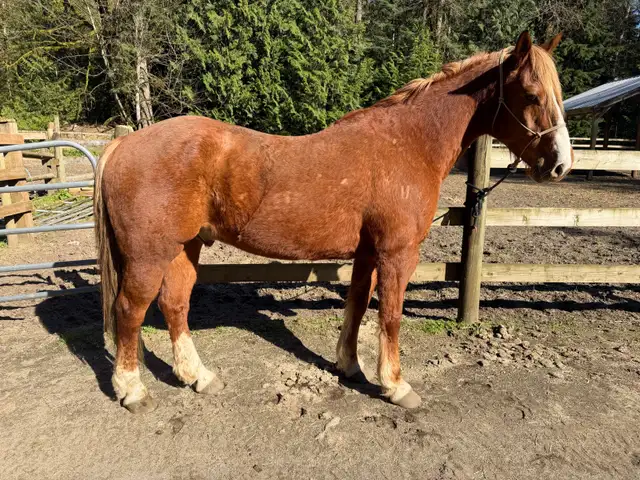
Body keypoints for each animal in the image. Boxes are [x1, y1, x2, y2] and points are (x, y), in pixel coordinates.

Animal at [94, 31, 573, 413]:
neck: (408, 144)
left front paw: (350, 366)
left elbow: (357, 305)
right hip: (149, 256)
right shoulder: (397, 253)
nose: (561, 165)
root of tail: (123, 145)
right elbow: (391, 315)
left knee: (175, 304)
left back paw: (199, 377)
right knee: (130, 311)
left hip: (184, 247)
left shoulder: (367, 253)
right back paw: (132, 391)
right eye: (532, 94)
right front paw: (396, 386)